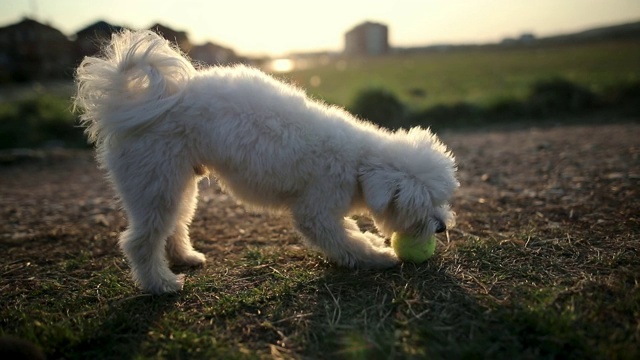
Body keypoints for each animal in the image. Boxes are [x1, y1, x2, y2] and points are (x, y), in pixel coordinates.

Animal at [72, 30, 458, 296]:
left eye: (442, 198)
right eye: (416, 203)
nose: (441, 227)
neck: (357, 163)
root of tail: (131, 108)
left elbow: (348, 234)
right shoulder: (316, 211)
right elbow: (346, 241)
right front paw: (379, 257)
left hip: (176, 183)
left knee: (174, 225)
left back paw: (185, 257)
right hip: (155, 183)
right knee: (140, 241)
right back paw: (160, 284)